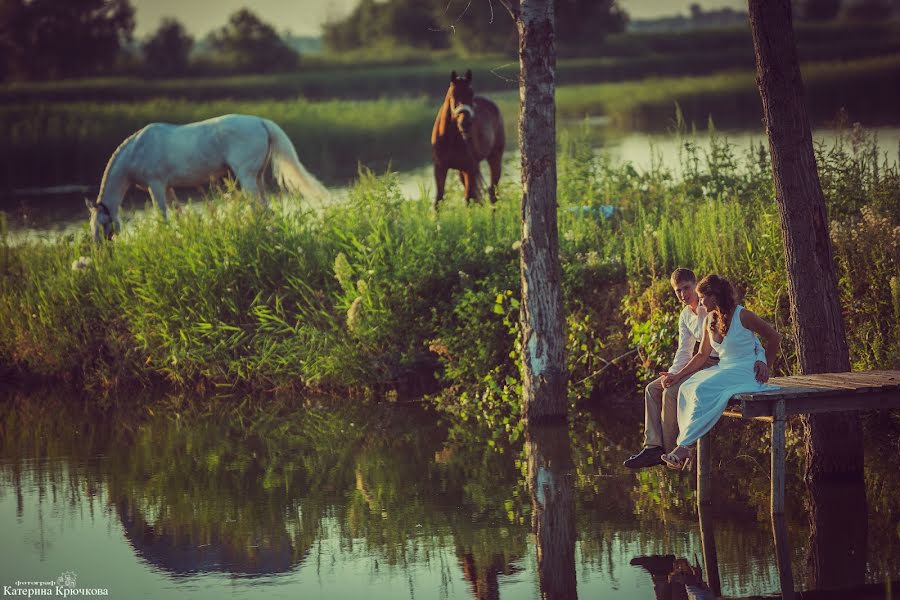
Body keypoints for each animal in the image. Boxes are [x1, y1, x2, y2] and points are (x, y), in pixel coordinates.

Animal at [85, 113, 326, 240]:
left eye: (101, 224)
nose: (101, 256)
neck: (137, 151)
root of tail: (260, 122)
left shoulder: (157, 186)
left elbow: (163, 217)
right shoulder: (168, 188)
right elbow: (177, 214)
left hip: (247, 178)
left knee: (258, 209)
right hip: (257, 178)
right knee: (265, 209)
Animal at [430, 69, 502, 209]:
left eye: (471, 94)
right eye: (453, 95)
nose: (465, 123)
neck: (450, 138)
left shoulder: (470, 169)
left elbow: (469, 199)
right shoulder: (440, 168)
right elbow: (438, 200)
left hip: (494, 158)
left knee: (492, 193)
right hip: (462, 171)